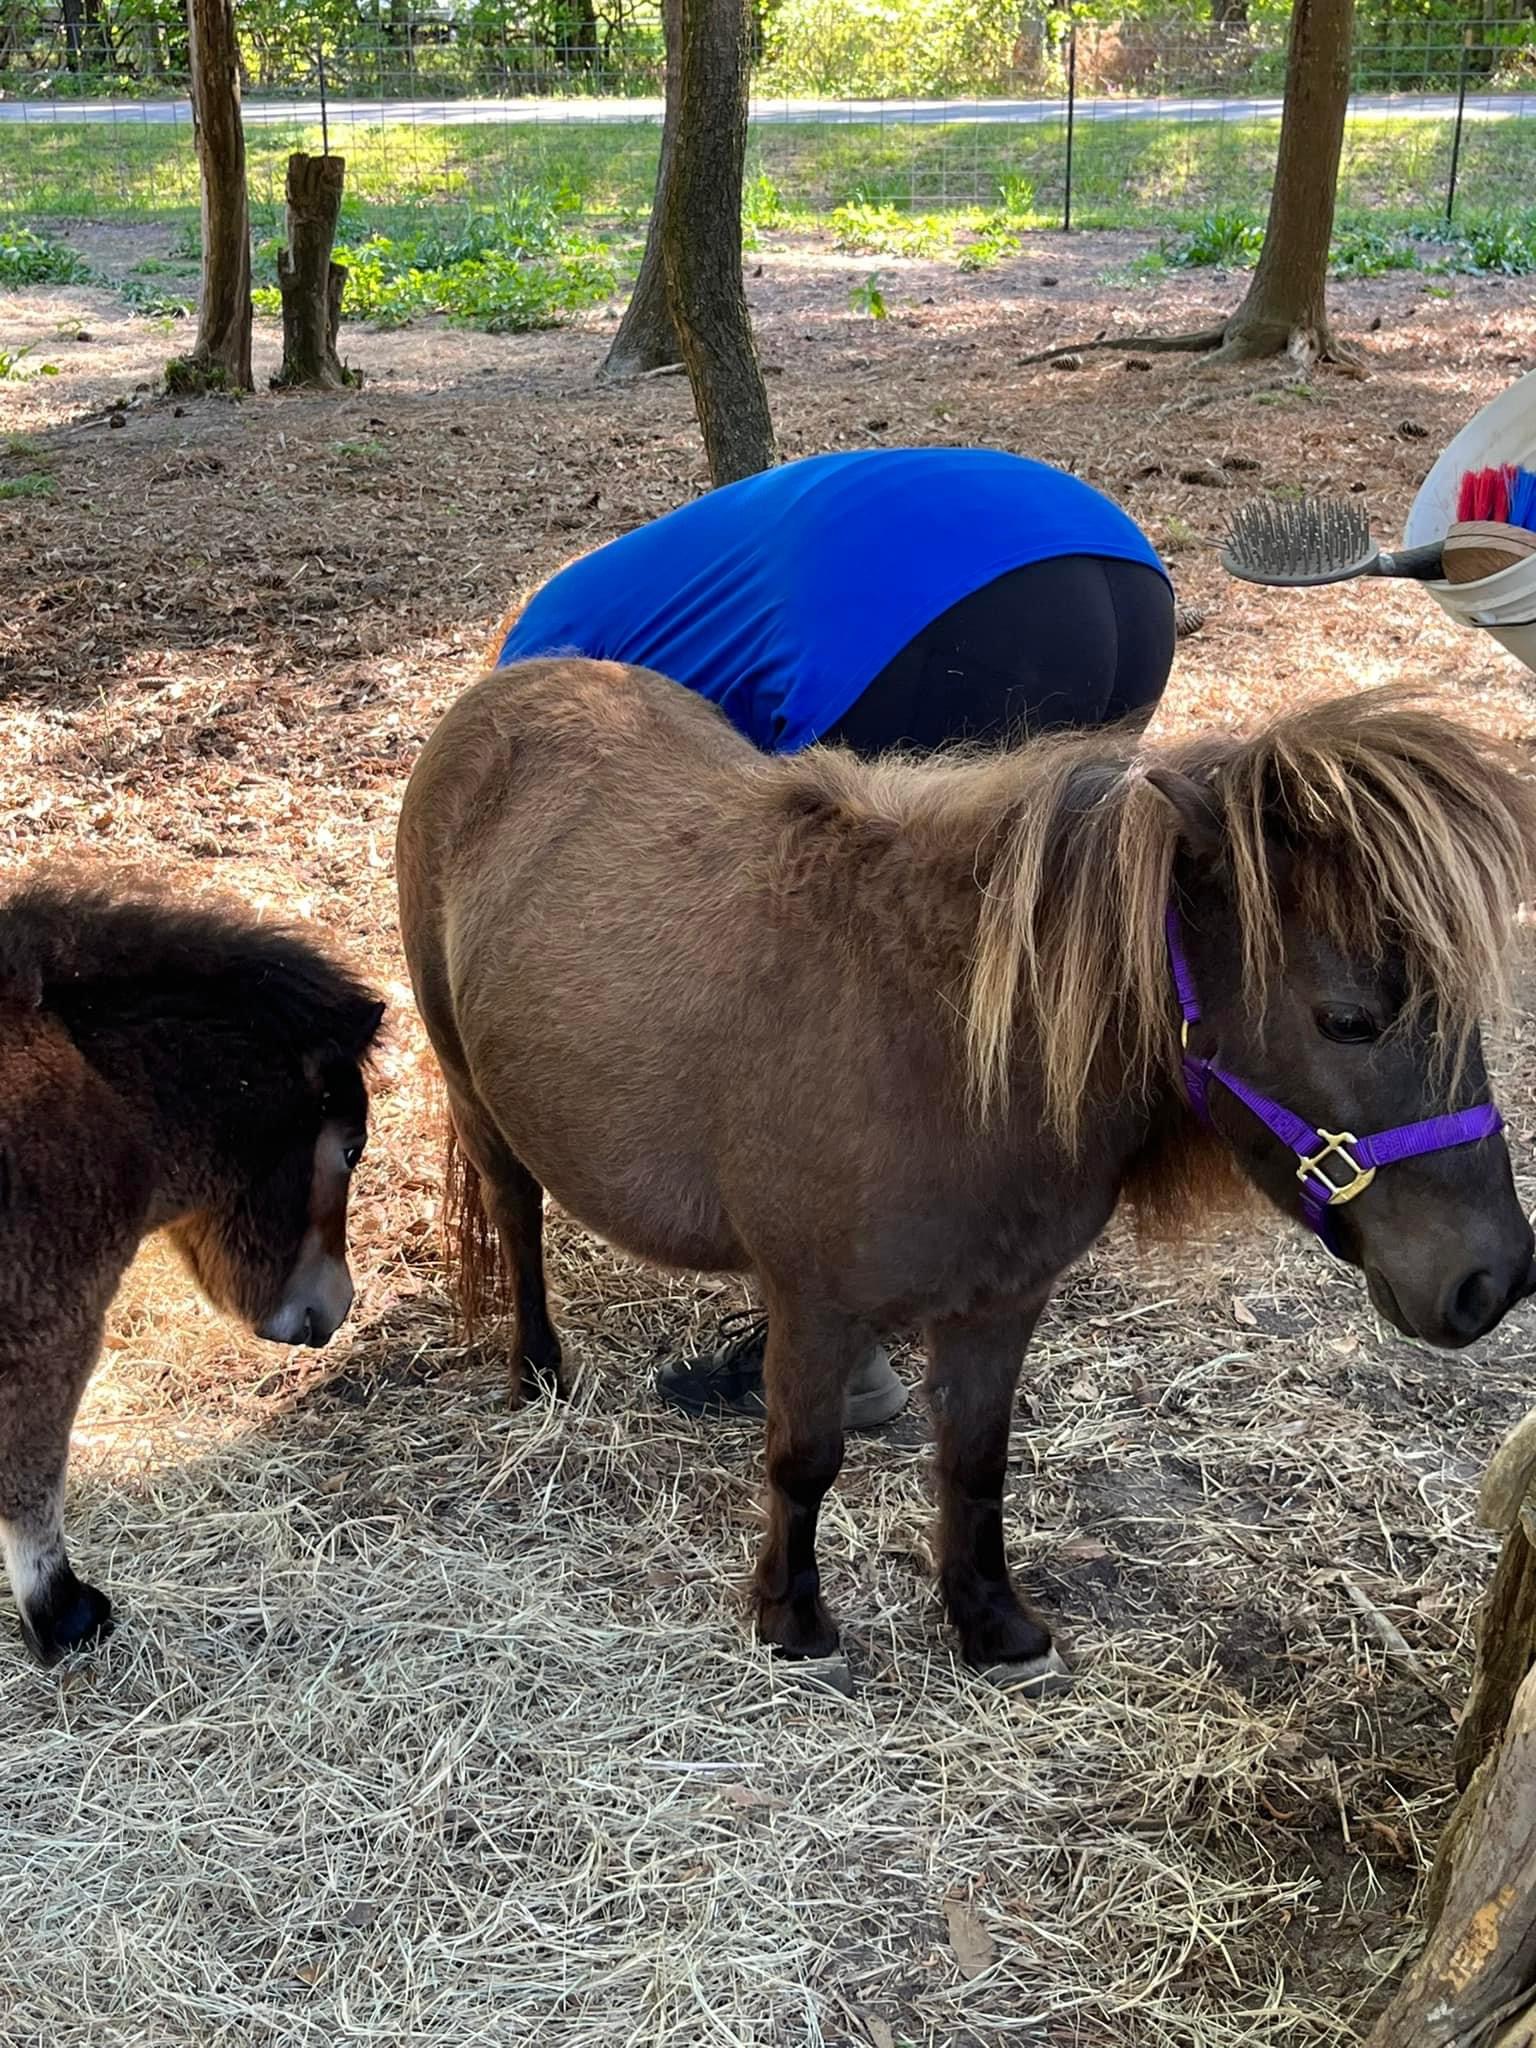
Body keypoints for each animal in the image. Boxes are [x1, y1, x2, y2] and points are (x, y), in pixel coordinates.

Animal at [0, 878, 384, 1664]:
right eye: (352, 1148)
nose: (338, 1305)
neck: (100, 1086)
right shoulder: (52, 1324)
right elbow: (30, 1478)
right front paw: (62, 1614)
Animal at [396, 660, 1536, 1692]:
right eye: (1347, 1018)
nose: (1491, 1278)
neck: (947, 1050)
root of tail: (504, 689)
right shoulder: (813, 1301)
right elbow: (802, 1459)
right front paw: (792, 1619)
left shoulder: (1001, 1301)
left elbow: (975, 1461)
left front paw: (993, 1624)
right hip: (471, 1088)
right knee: (516, 1212)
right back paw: (537, 1370)